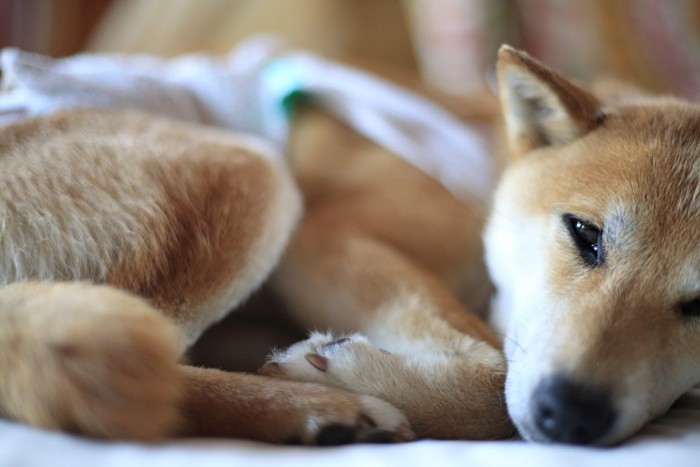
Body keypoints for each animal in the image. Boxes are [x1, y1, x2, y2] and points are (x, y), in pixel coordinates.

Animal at [0, 44, 692, 450]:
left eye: (699, 304)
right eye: (585, 234)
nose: (570, 414)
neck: (488, 156)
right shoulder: (328, 234)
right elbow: (492, 381)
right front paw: (345, 370)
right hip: (254, 176)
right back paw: (317, 409)